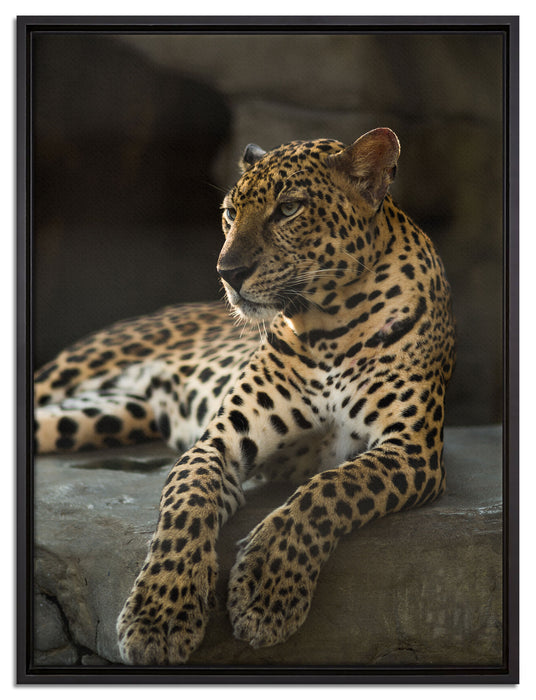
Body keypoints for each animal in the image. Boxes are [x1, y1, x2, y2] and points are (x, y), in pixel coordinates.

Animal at [34, 127, 456, 665]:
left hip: (95, 417)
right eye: (230, 214)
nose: (227, 272)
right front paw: (159, 615)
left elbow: (329, 490)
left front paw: (267, 589)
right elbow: (186, 503)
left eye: (289, 208)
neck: (330, 324)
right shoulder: (219, 443)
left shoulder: (411, 450)